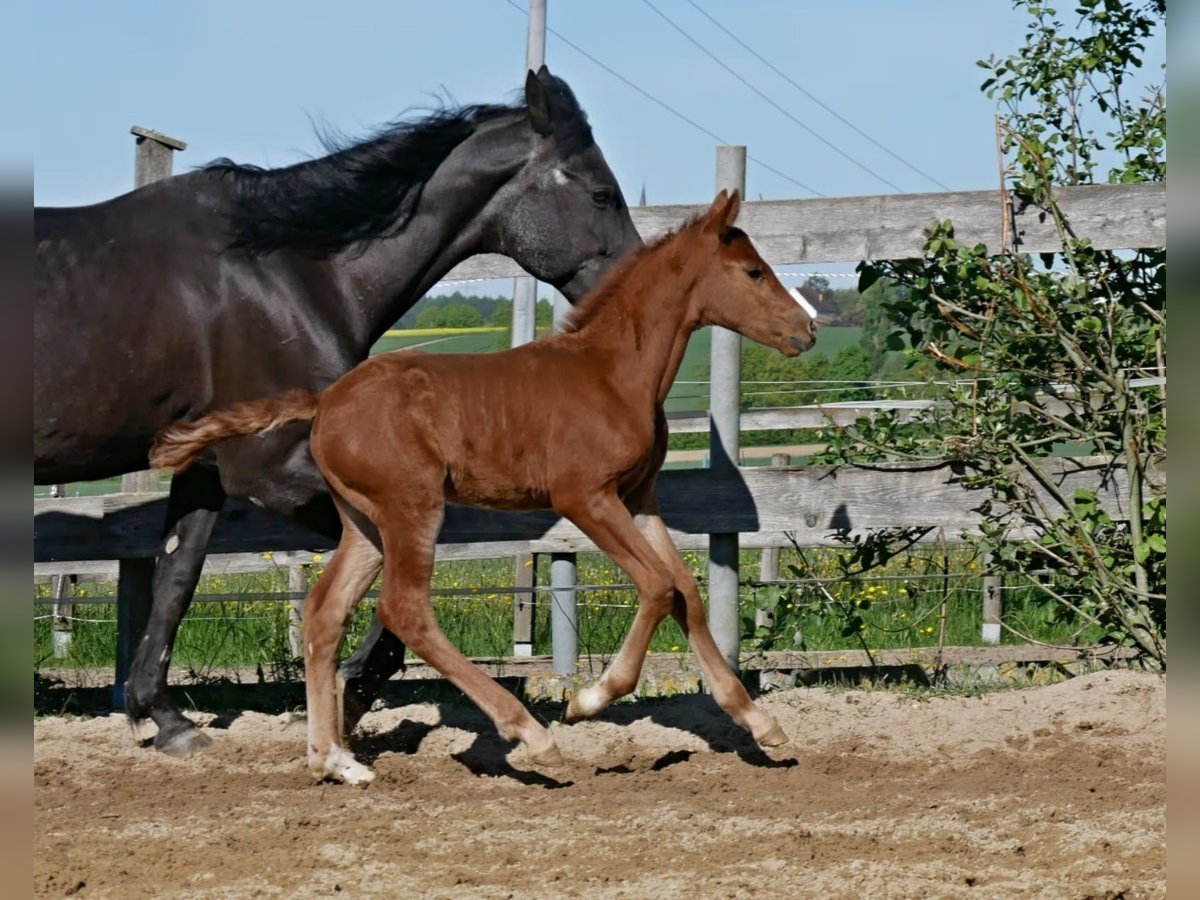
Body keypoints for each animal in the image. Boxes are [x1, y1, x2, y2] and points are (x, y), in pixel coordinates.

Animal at [32, 65, 643, 753]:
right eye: (601, 195)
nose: (638, 288)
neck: (290, 271)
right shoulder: (270, 467)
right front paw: (351, 691)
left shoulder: (207, 468)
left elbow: (176, 579)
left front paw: (164, 718)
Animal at [152, 188, 816, 782]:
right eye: (754, 272)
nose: (806, 332)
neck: (613, 372)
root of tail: (324, 402)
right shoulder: (585, 497)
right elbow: (656, 586)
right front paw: (589, 700)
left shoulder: (637, 497)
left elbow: (685, 592)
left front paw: (761, 724)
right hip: (412, 506)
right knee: (405, 609)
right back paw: (532, 734)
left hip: (364, 522)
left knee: (324, 612)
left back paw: (336, 761)